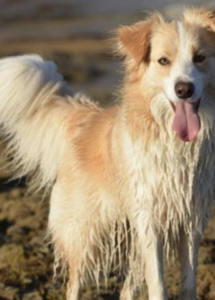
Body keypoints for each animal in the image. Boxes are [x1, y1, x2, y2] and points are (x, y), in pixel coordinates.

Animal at [0, 5, 215, 300]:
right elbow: (158, 285)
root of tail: (87, 117)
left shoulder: (191, 219)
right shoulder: (149, 220)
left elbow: (188, 282)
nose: (184, 90)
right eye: (163, 61)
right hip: (85, 233)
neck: (172, 138)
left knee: (126, 289)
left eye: (200, 58)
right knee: (74, 283)